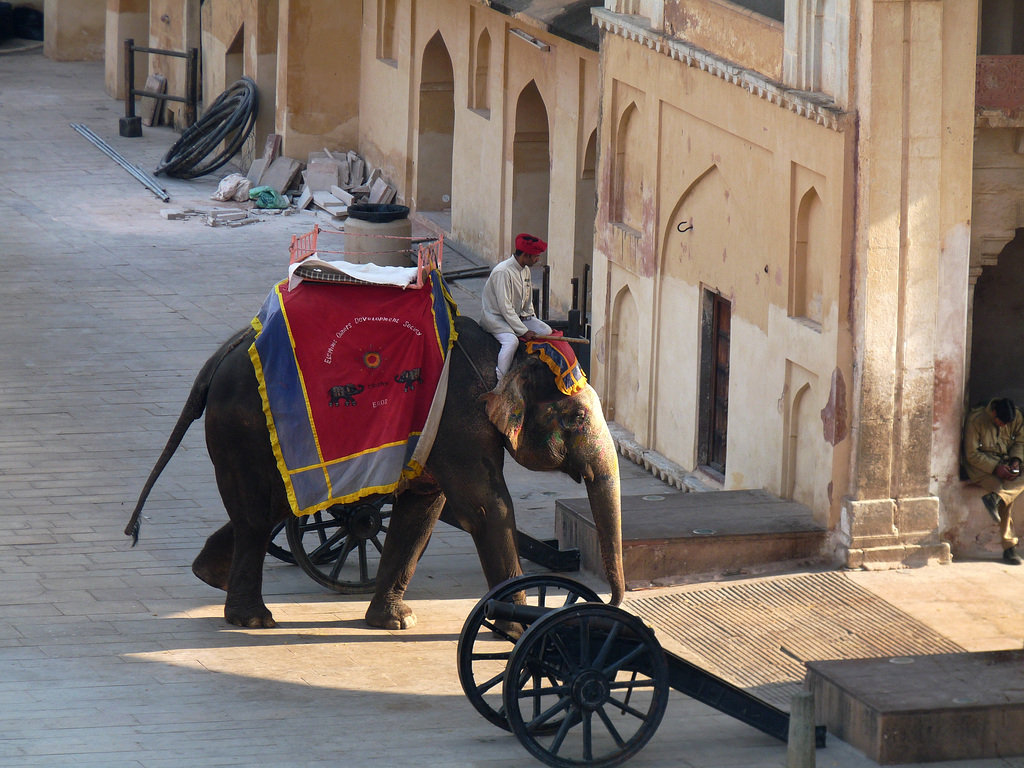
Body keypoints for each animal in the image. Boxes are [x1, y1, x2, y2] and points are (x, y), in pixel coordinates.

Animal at [125, 313, 622, 630]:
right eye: (576, 418)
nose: (614, 604)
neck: (509, 357)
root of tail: (216, 360)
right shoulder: (459, 421)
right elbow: (486, 508)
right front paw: (521, 629)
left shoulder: (439, 435)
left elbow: (423, 508)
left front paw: (396, 623)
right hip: (244, 429)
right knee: (258, 515)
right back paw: (253, 619)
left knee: (267, 510)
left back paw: (211, 575)